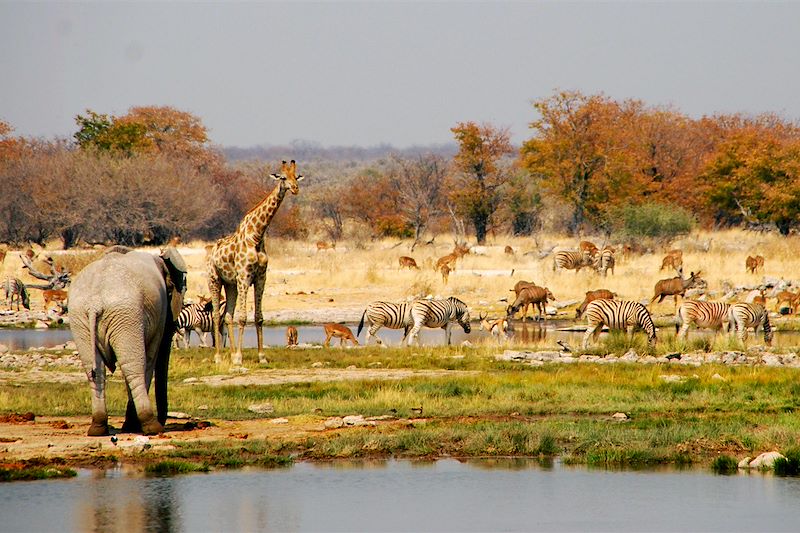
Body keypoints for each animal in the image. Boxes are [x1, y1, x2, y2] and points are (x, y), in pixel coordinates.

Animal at [69, 245, 188, 436]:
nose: (164, 421)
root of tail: (95, 302)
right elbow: (150, 359)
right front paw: (133, 426)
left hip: (80, 317)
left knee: (94, 369)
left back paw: (98, 428)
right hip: (125, 314)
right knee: (134, 366)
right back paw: (151, 427)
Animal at [206, 159, 304, 366]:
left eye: (296, 176)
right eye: (283, 178)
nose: (295, 188)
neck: (257, 235)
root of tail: (211, 253)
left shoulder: (260, 278)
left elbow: (258, 317)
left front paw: (261, 357)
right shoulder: (244, 276)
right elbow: (243, 317)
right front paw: (239, 357)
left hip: (231, 284)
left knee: (228, 315)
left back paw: (230, 354)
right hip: (214, 280)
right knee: (216, 315)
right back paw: (219, 356)